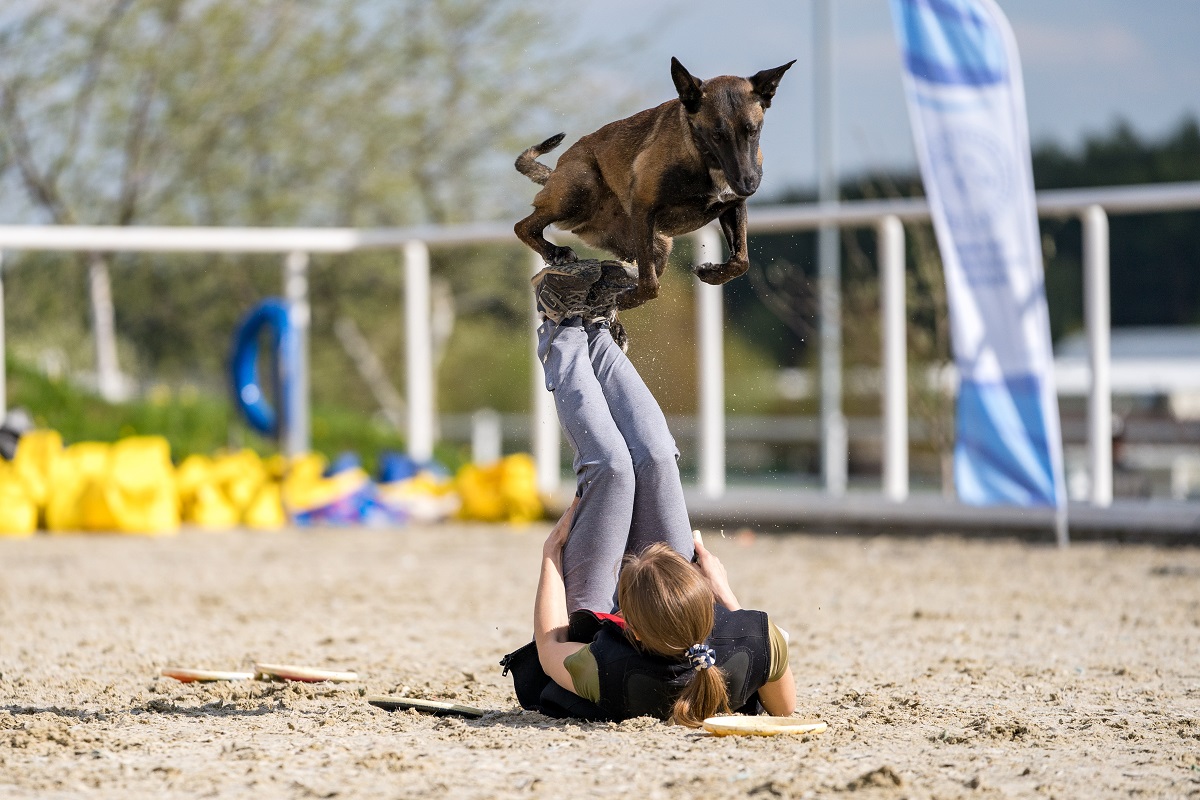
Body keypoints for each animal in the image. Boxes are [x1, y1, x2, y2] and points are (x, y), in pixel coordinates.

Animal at [511, 56, 792, 311]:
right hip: (579, 191)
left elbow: (741, 260)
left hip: (658, 244)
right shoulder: (644, 210)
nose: (748, 185)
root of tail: (554, 172)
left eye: (753, 130)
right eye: (716, 135)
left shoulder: (733, 206)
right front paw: (626, 299)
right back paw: (555, 253)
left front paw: (712, 272)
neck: (702, 157)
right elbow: (650, 284)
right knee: (523, 226)